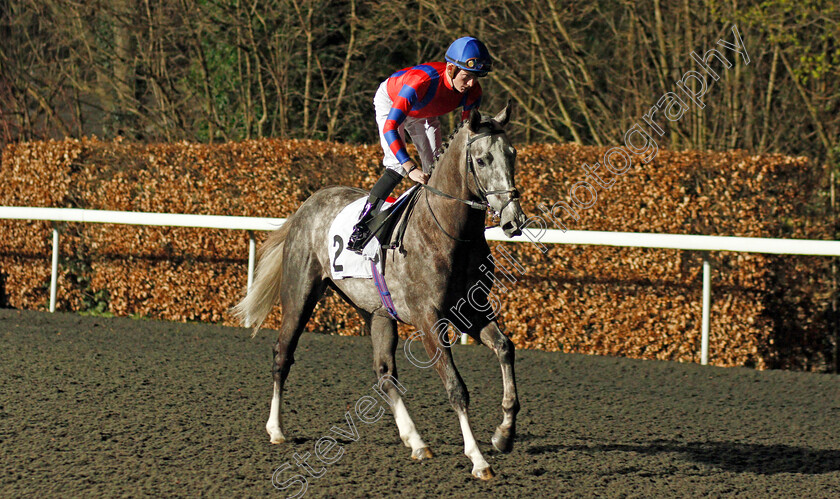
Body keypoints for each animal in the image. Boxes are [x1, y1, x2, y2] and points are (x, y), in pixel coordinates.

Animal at [233, 102, 524, 480]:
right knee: (283, 354)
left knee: (385, 373)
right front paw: (477, 458)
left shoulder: (470, 309)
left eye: (512, 154)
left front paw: (504, 433)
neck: (446, 231)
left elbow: (504, 348)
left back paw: (416, 441)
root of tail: (307, 204)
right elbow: (456, 387)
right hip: (300, 295)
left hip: (375, 311)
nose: (514, 220)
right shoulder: (429, 318)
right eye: (483, 159)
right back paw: (276, 429)